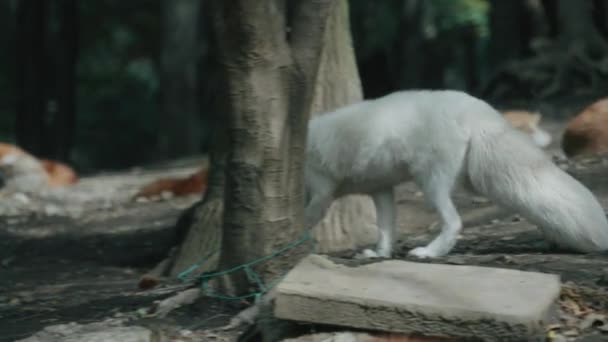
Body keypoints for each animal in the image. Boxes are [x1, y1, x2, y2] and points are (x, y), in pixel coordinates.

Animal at [306, 89, 608, 258]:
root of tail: (476, 110)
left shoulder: (321, 192)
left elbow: (306, 220)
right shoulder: (381, 189)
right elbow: (385, 228)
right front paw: (379, 254)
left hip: (431, 183)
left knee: (454, 222)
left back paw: (429, 253)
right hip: (475, 182)